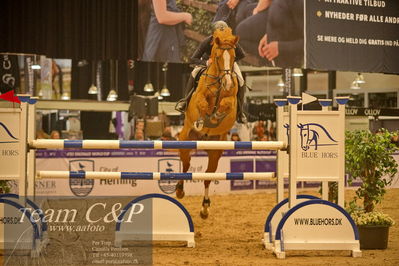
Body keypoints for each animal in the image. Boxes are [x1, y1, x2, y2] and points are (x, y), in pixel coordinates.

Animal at [177, 27, 239, 218]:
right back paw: (179, 190)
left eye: (233, 57)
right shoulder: (199, 98)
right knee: (186, 165)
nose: (227, 83)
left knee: (207, 176)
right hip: (185, 141)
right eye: (217, 57)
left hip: (215, 152)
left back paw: (205, 207)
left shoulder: (231, 100)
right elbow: (203, 104)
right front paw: (202, 120)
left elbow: (226, 104)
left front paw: (216, 115)